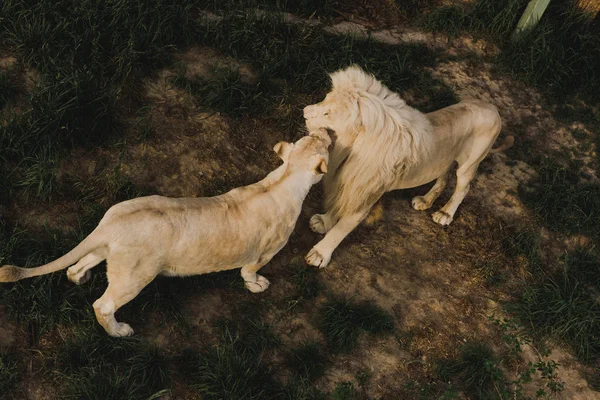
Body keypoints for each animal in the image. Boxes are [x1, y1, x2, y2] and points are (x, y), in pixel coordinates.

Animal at [0, 130, 330, 336]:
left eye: (313, 137)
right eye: (323, 142)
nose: (327, 131)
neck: (285, 177)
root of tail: (111, 223)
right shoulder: (265, 251)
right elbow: (249, 271)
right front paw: (258, 285)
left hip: (109, 252)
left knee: (75, 267)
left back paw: (82, 278)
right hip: (135, 275)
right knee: (103, 305)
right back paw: (120, 331)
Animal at [302, 65, 512, 268]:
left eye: (328, 113)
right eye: (325, 99)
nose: (304, 112)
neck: (348, 151)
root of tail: (493, 108)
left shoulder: (365, 193)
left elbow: (341, 227)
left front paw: (320, 254)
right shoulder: (347, 180)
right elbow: (337, 205)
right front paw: (324, 221)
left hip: (470, 163)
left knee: (463, 188)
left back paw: (445, 213)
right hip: (444, 158)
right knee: (444, 178)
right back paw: (426, 201)